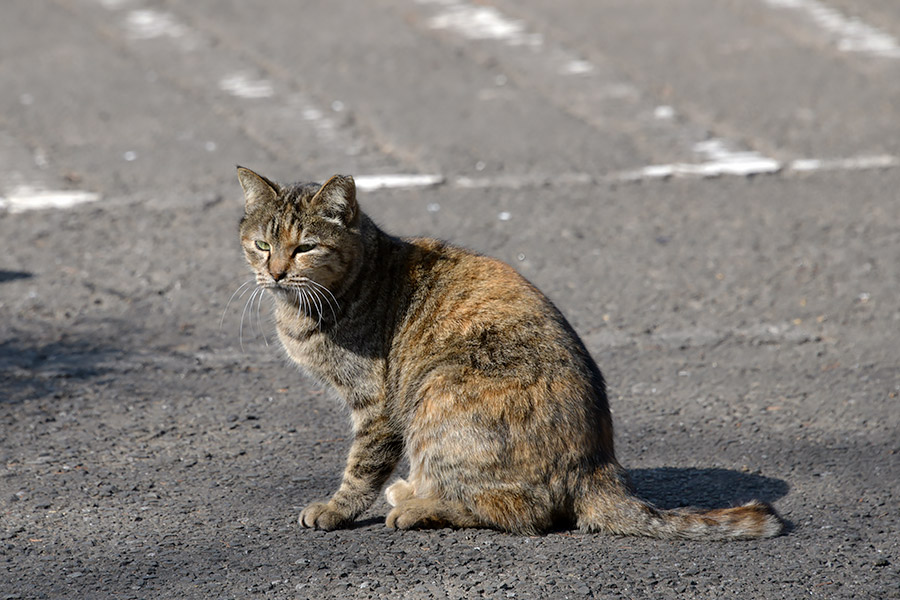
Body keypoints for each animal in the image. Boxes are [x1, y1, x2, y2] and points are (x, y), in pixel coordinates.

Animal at [237, 168, 780, 540]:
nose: (277, 272)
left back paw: (418, 507)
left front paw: (336, 509)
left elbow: (361, 468)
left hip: (438, 392)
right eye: (262, 245)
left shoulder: (376, 406)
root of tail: (598, 466)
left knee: (520, 513)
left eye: (305, 247)